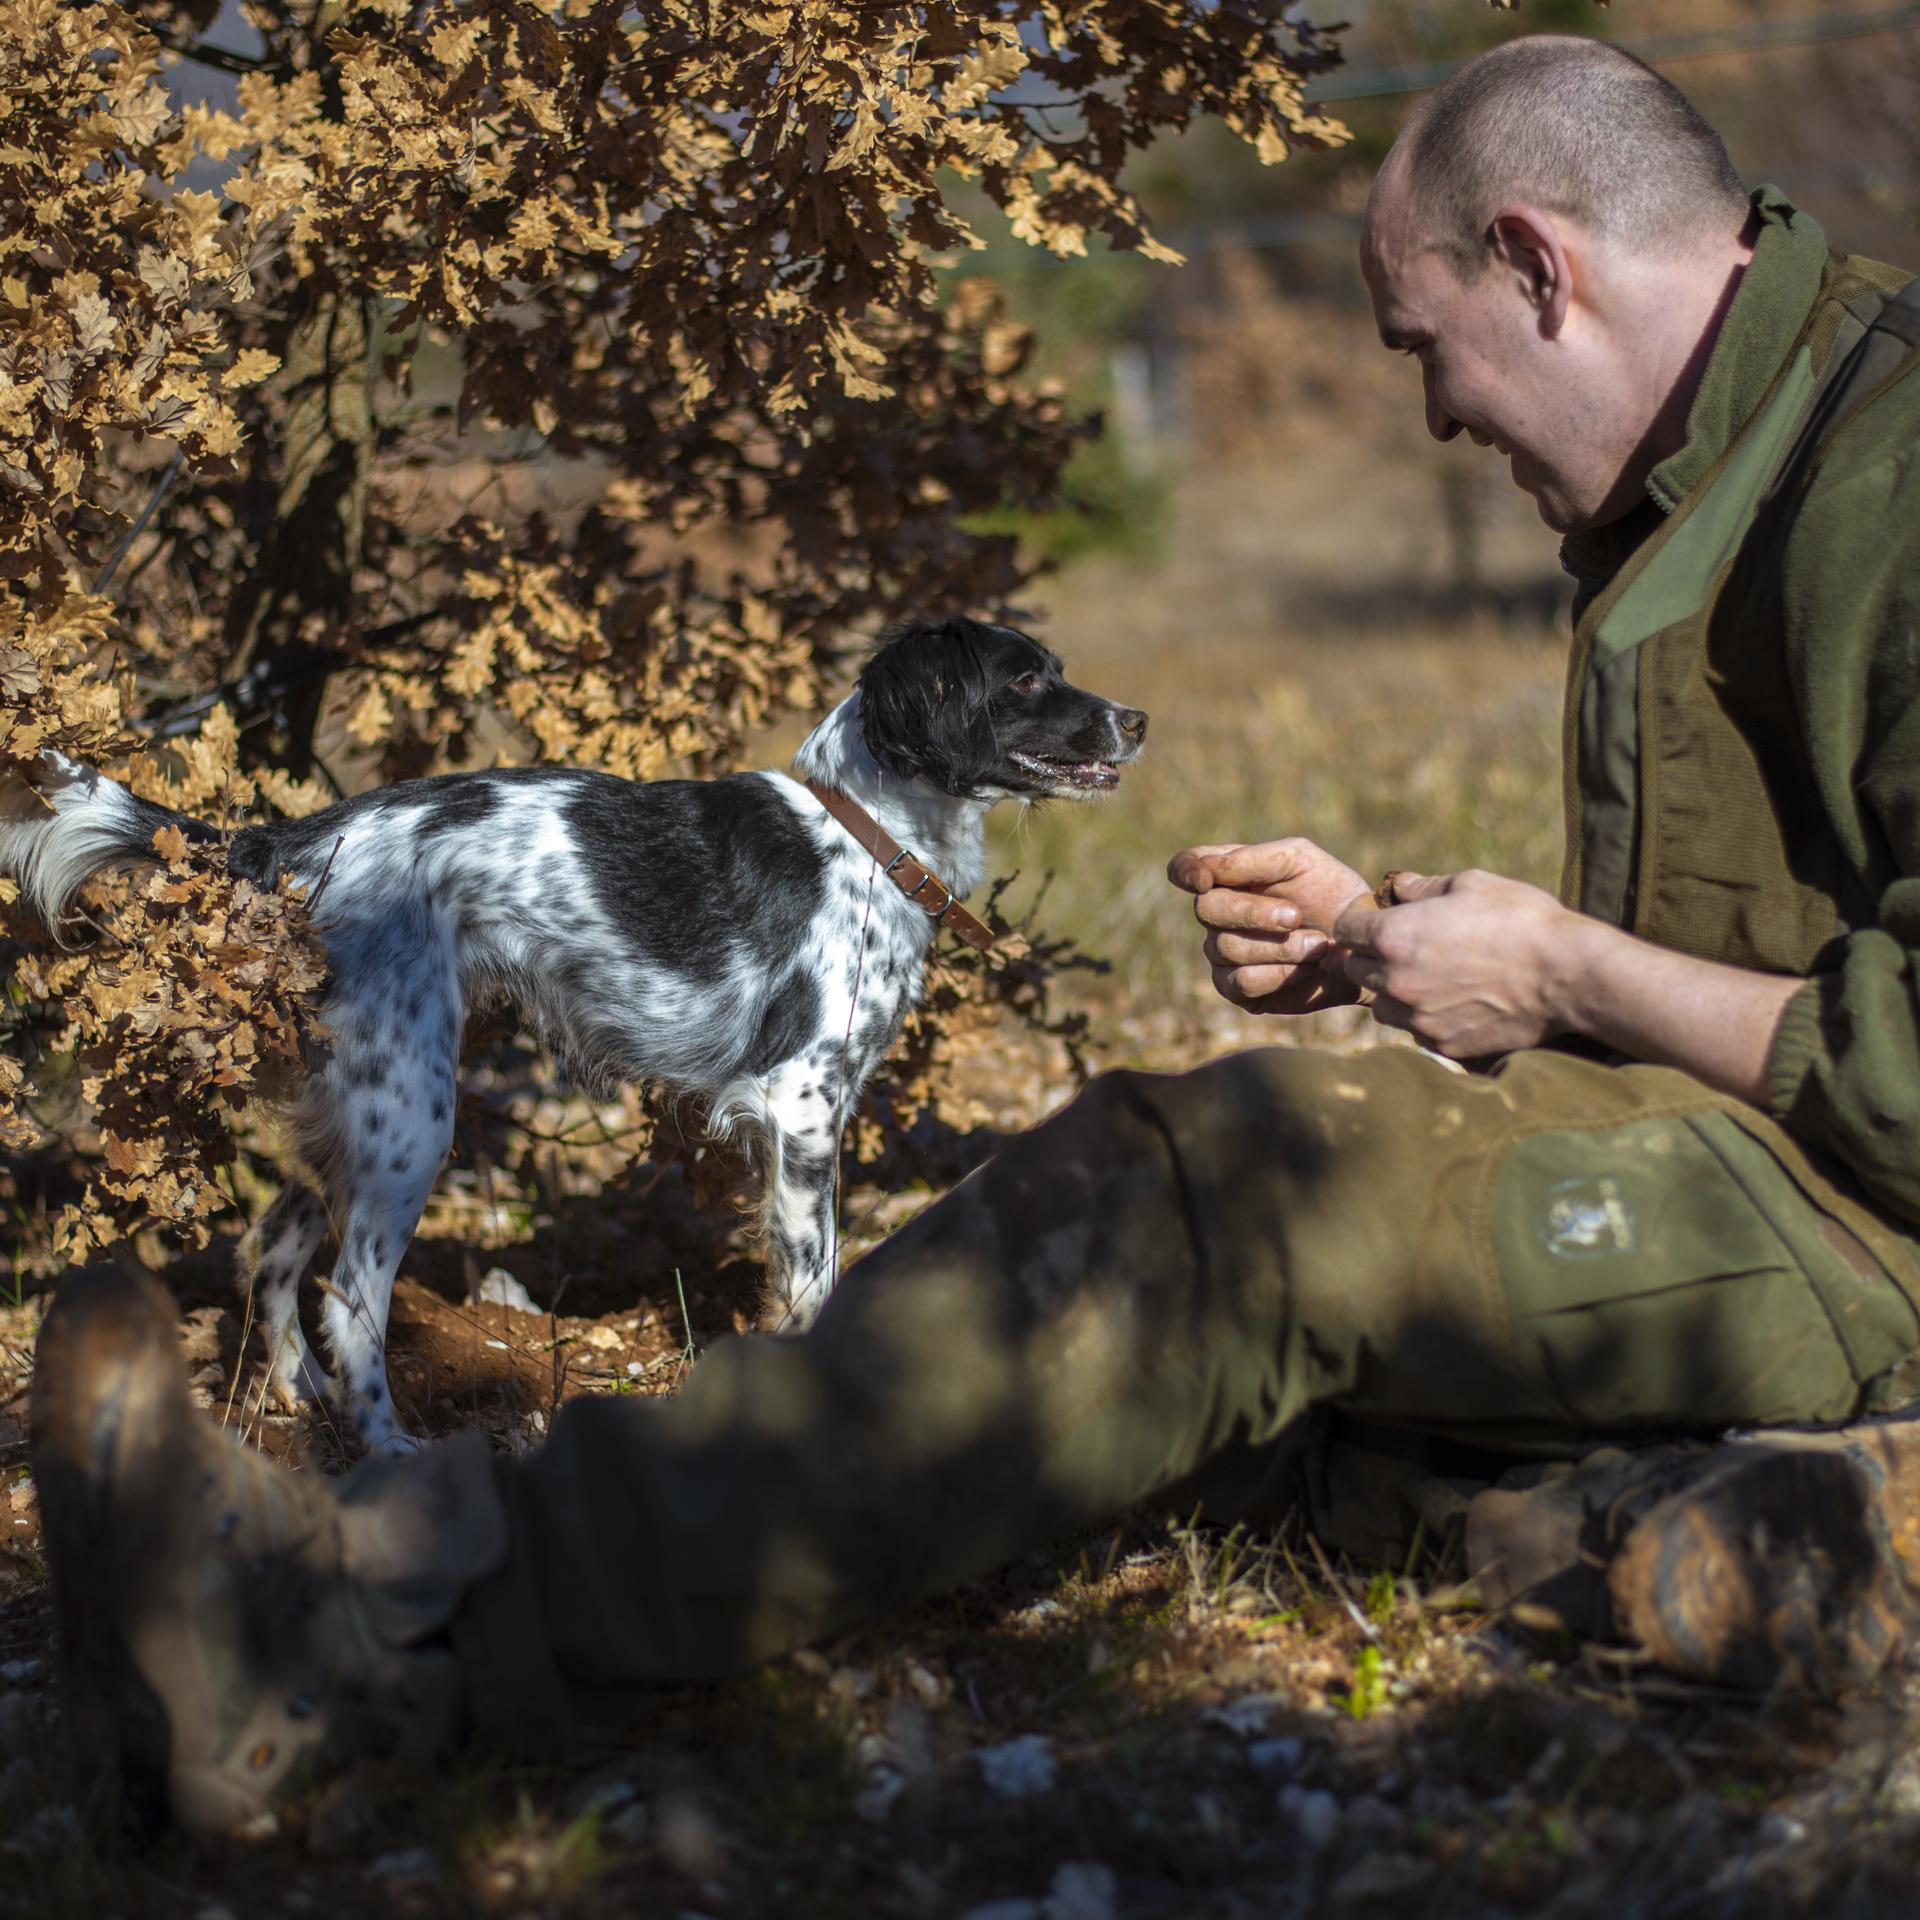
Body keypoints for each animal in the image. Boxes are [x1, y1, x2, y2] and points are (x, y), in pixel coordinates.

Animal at [0, 622, 1136, 1443]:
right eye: (1024, 679)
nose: (1138, 717)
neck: (865, 833)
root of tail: (296, 843)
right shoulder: (804, 1103)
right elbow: (816, 1277)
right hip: (411, 1118)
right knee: (352, 1300)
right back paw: (391, 1452)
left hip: (354, 1110)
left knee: (274, 1254)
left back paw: (305, 1406)